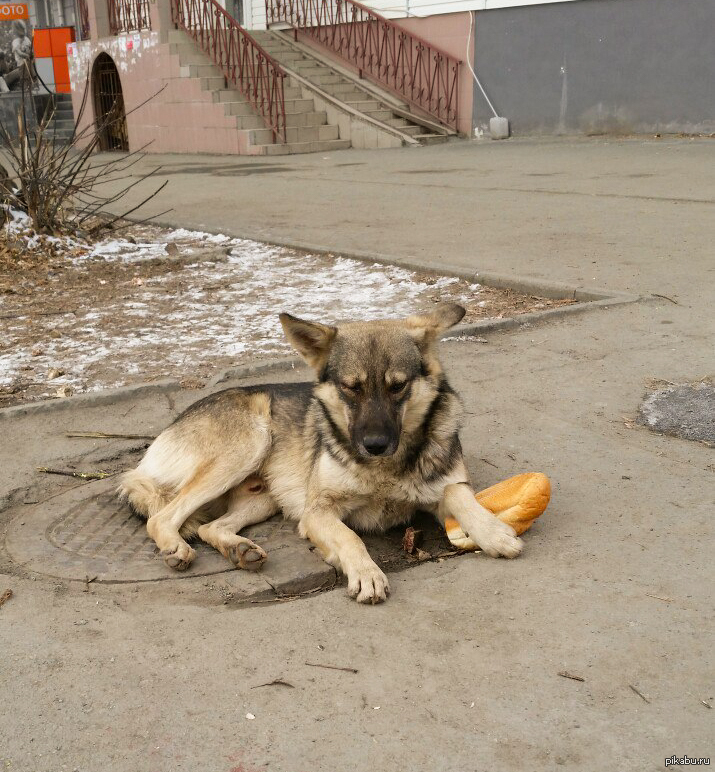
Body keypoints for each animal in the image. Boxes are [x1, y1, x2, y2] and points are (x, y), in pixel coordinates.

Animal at [120, 304, 524, 608]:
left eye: (398, 387)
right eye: (350, 387)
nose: (375, 444)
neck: (382, 469)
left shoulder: (441, 488)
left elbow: (459, 494)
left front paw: (493, 532)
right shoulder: (317, 512)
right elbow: (350, 538)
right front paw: (366, 573)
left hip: (264, 498)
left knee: (209, 526)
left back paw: (240, 550)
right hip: (248, 446)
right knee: (162, 518)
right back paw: (177, 546)